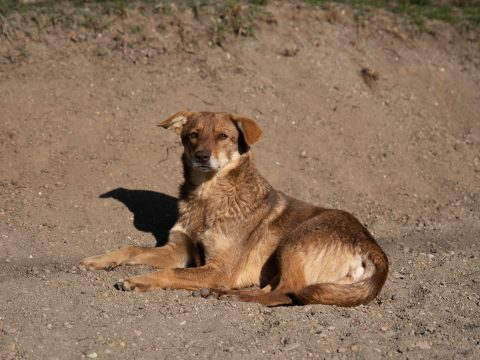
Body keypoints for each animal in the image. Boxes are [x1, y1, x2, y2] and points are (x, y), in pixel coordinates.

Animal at [80, 110, 388, 306]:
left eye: (223, 136)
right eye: (193, 135)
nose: (202, 156)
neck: (207, 197)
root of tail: (373, 248)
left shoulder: (218, 270)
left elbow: (171, 274)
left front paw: (140, 280)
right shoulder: (177, 250)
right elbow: (131, 249)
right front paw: (100, 259)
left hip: (294, 242)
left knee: (284, 294)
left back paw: (231, 296)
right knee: (276, 289)